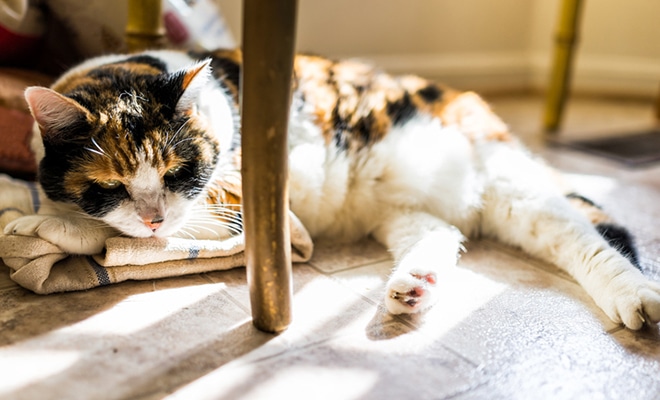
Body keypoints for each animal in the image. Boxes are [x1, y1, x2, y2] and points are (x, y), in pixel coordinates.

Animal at [6, 48, 660, 330]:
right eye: (112, 182)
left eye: (177, 173)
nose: (152, 217)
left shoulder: (233, 198)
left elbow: (125, 236)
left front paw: (41, 227)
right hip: (405, 210)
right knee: (443, 230)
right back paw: (414, 286)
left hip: (506, 182)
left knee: (586, 235)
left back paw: (637, 300)